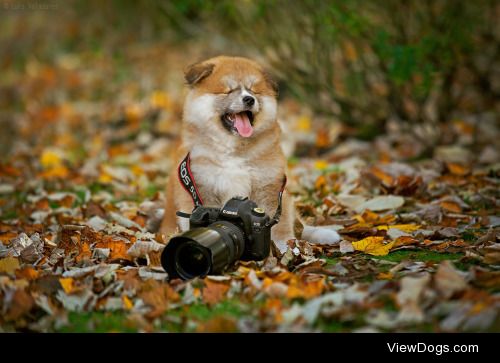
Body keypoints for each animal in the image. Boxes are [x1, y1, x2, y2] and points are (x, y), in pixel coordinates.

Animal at [160, 56, 340, 253]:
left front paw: (286, 249)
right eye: (228, 91)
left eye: (254, 90)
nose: (249, 99)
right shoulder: (202, 189)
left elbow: (280, 226)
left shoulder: (270, 189)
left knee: (300, 224)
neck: (234, 151)